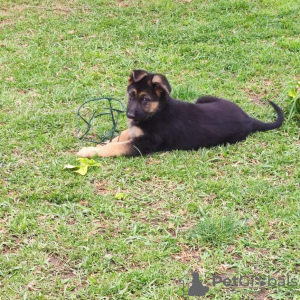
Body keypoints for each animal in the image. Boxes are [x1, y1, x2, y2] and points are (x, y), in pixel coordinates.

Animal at [77, 69, 284, 158]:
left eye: (145, 100)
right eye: (131, 95)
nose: (129, 116)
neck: (157, 111)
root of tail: (248, 119)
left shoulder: (144, 144)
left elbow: (116, 147)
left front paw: (89, 151)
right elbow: (119, 137)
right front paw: (102, 143)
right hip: (203, 98)